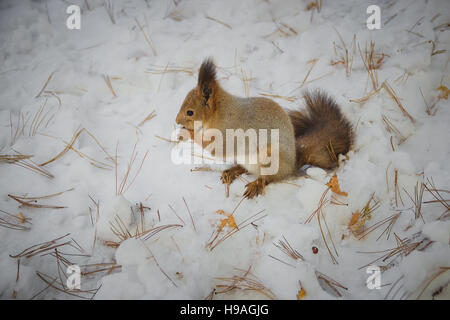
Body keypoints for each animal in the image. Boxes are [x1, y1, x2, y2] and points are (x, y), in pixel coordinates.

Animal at [177, 57, 356, 198]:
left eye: (190, 112)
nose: (177, 121)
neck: (221, 113)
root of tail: (291, 166)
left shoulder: (230, 132)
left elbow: (218, 148)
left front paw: (187, 133)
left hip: (270, 157)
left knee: (269, 178)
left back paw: (256, 184)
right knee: (248, 169)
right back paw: (233, 171)